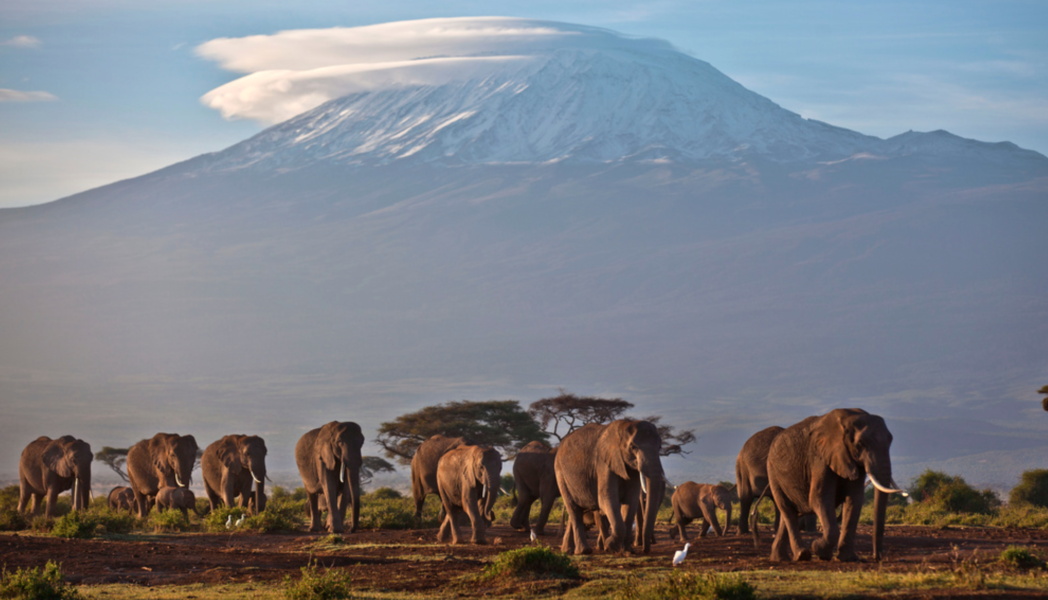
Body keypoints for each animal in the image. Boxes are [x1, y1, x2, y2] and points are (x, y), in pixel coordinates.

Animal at [557, 416, 662, 552]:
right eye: (633, 447)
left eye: (660, 447)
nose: (645, 550)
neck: (624, 426)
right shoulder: (603, 463)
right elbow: (606, 498)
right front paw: (610, 545)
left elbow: (630, 501)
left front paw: (627, 551)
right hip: (560, 474)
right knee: (573, 509)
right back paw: (584, 551)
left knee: (576, 511)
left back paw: (568, 550)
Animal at [767, 406, 905, 561]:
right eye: (860, 444)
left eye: (890, 442)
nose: (877, 557)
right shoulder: (819, 459)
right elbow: (820, 498)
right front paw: (818, 549)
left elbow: (855, 499)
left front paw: (847, 558)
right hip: (773, 474)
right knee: (787, 510)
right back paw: (802, 555)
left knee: (790, 513)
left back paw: (779, 558)